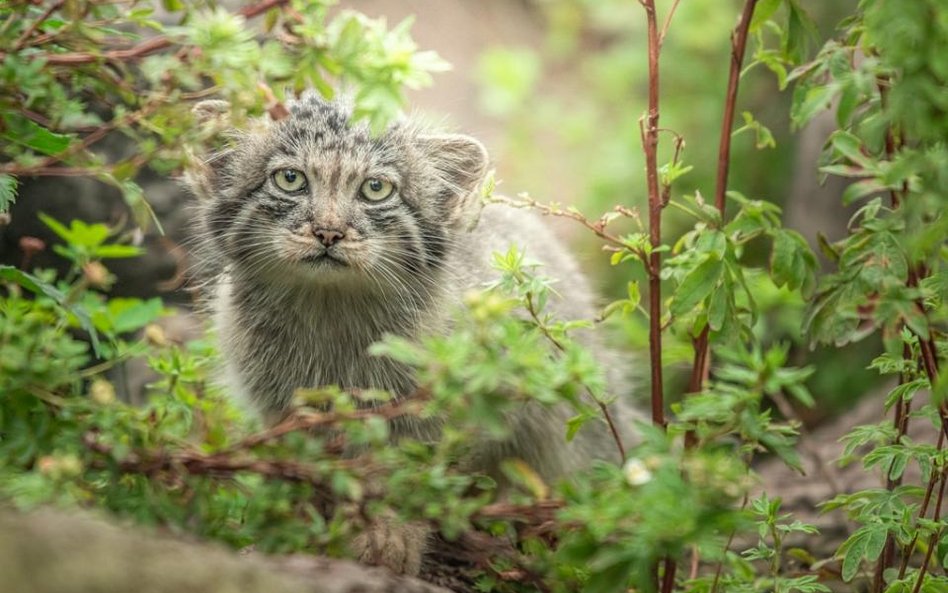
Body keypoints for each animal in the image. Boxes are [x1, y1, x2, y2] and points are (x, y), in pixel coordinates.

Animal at [188, 92, 624, 572]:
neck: (332, 316)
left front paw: (390, 534)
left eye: (376, 188)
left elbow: (414, 474)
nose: (329, 231)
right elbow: (304, 465)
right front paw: (298, 522)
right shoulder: (279, 406)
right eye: (290, 179)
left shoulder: (442, 413)